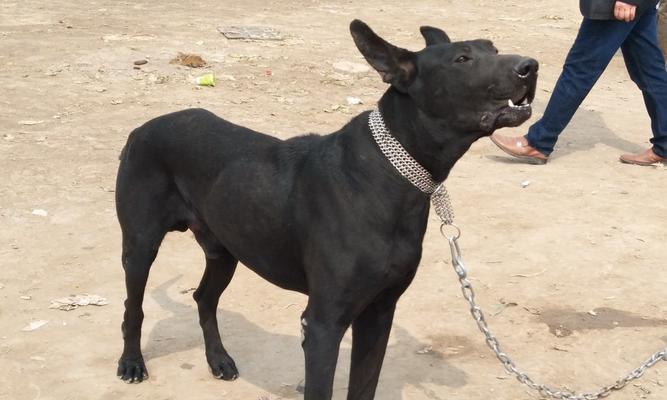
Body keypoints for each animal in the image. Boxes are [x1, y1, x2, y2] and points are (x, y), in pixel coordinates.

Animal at [116, 19, 536, 400]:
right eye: (462, 59)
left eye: (494, 48)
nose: (530, 66)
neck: (390, 174)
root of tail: (142, 127)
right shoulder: (323, 324)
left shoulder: (379, 312)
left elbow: (364, 386)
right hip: (140, 246)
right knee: (133, 308)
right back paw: (132, 363)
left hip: (225, 249)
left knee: (204, 298)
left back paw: (218, 359)